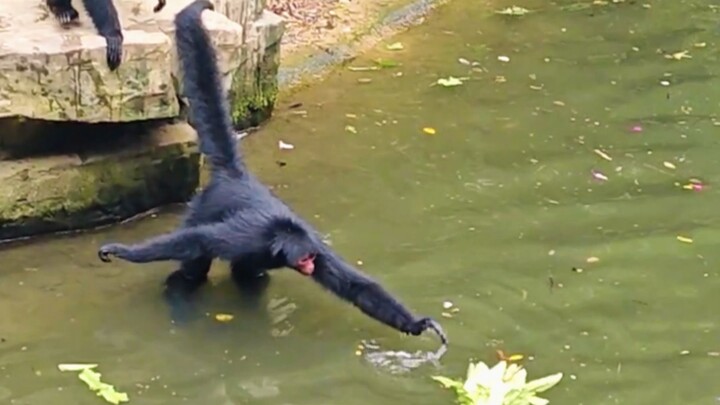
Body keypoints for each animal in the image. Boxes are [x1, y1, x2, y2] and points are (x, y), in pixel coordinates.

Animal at [96, 0, 447, 345]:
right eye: (303, 260)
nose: (309, 266)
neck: (275, 243)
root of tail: (235, 175)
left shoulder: (314, 242)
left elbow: (355, 286)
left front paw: (418, 324)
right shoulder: (245, 239)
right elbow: (196, 241)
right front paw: (121, 250)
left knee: (248, 275)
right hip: (202, 207)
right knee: (195, 265)